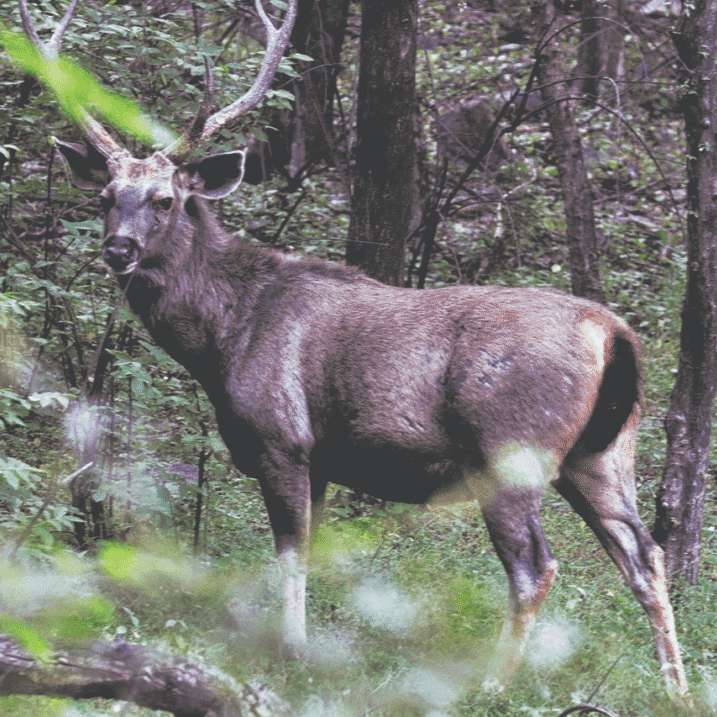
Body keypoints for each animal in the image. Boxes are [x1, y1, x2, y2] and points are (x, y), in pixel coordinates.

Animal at [21, 0, 689, 699]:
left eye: (165, 199)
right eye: (105, 196)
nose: (118, 248)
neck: (226, 334)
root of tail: (615, 335)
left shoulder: (283, 439)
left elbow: (289, 554)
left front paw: (291, 654)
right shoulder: (320, 461)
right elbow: (314, 554)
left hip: (511, 450)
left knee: (537, 566)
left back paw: (491, 687)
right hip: (604, 454)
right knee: (646, 555)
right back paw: (677, 689)